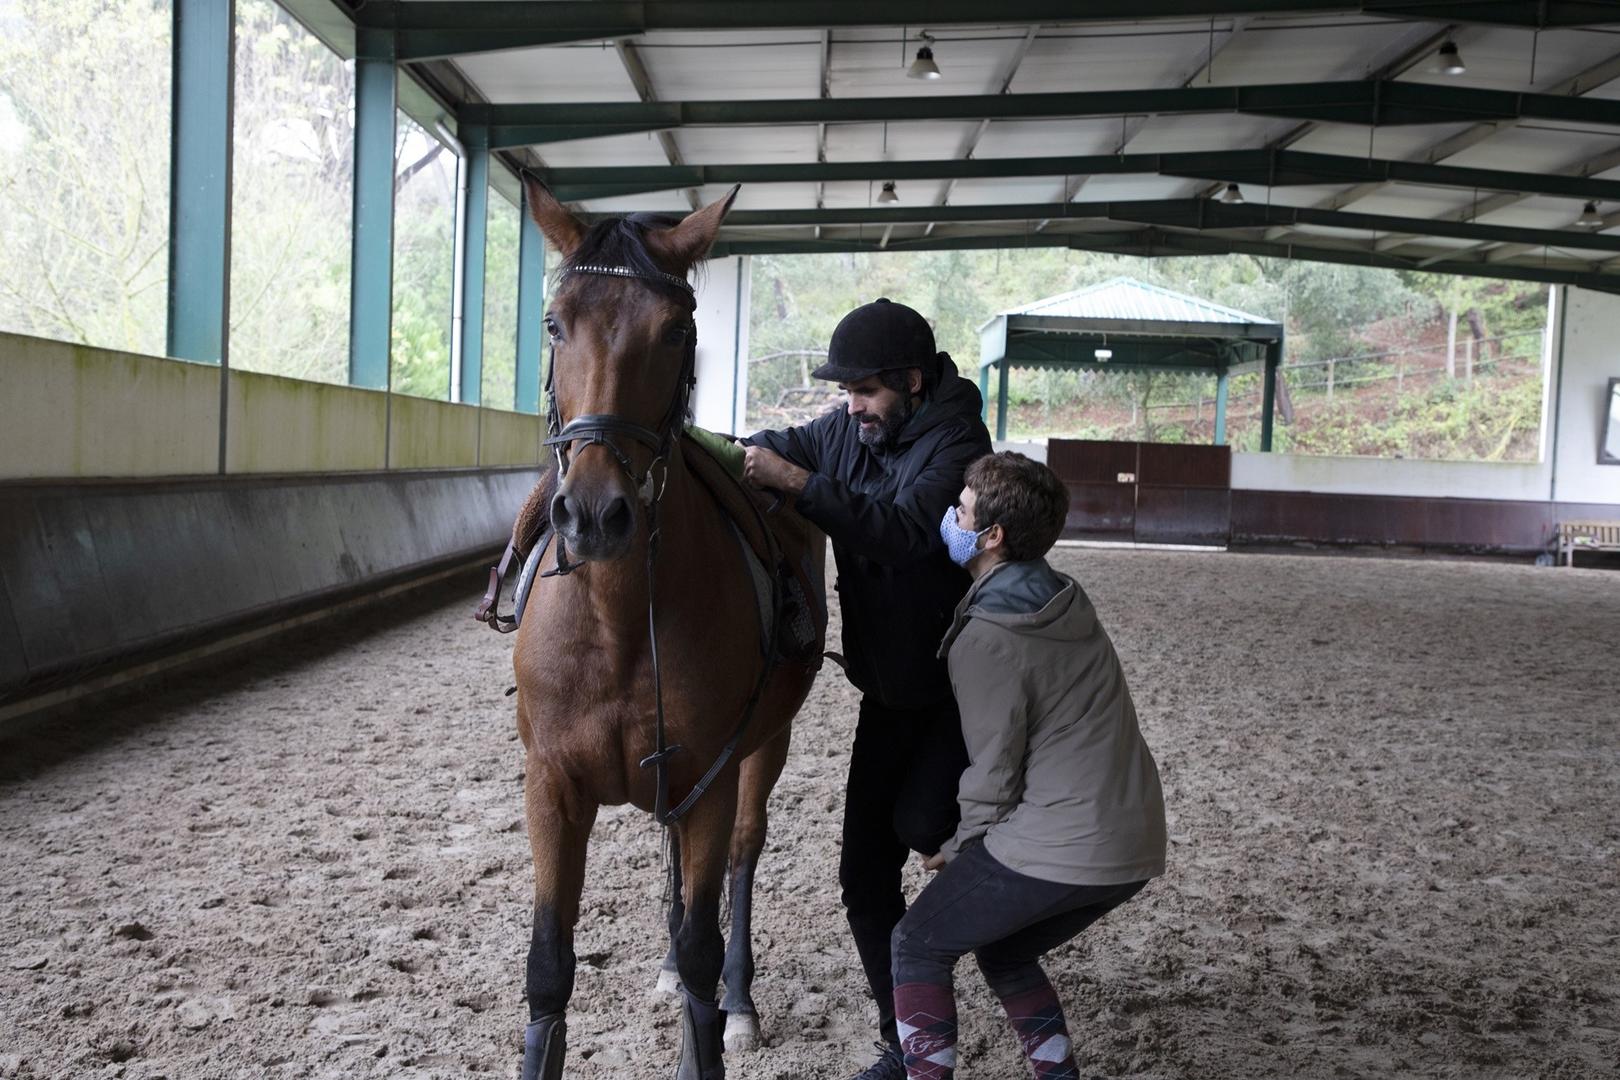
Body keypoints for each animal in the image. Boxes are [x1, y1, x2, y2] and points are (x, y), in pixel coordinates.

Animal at [511, 179, 829, 1080]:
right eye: (555, 324)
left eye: (677, 330)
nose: (593, 514)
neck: (618, 624)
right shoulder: (552, 785)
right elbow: (549, 967)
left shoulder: (710, 777)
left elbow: (700, 948)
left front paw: (717, 1013)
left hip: (763, 748)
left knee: (738, 864)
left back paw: (742, 999)